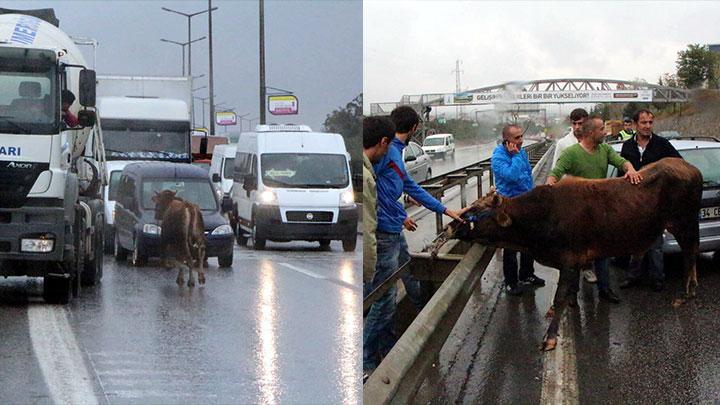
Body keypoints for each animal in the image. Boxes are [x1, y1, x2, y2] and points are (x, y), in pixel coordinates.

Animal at [434, 158, 704, 350]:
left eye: (478, 212)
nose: (451, 225)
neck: (540, 217)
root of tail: (689, 166)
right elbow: (567, 293)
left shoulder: (569, 260)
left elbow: (561, 295)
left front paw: (551, 336)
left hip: (686, 223)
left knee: (691, 253)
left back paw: (687, 293)